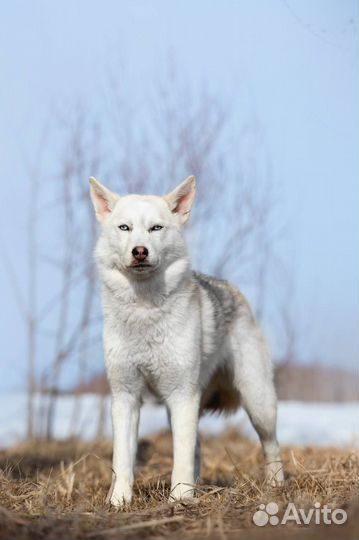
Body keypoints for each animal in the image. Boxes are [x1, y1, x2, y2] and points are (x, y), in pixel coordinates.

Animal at [89, 176, 284, 506]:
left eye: (156, 228)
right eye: (125, 227)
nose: (140, 251)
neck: (144, 310)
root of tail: (233, 290)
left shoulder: (182, 395)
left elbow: (178, 460)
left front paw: (179, 499)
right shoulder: (126, 396)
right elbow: (123, 460)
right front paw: (119, 502)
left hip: (257, 403)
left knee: (271, 445)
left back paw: (275, 487)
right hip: (181, 407)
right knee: (197, 448)